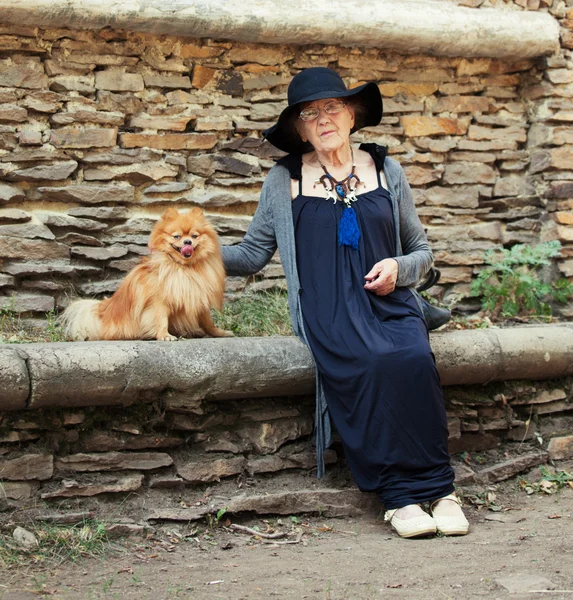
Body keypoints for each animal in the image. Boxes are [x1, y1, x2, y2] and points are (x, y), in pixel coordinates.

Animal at [61, 206, 231, 340]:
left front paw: (218, 332)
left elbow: (208, 321)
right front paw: (164, 335)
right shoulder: (159, 301)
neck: (184, 267)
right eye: (177, 236)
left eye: (194, 236)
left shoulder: (198, 297)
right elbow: (161, 319)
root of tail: (103, 311)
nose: (187, 242)